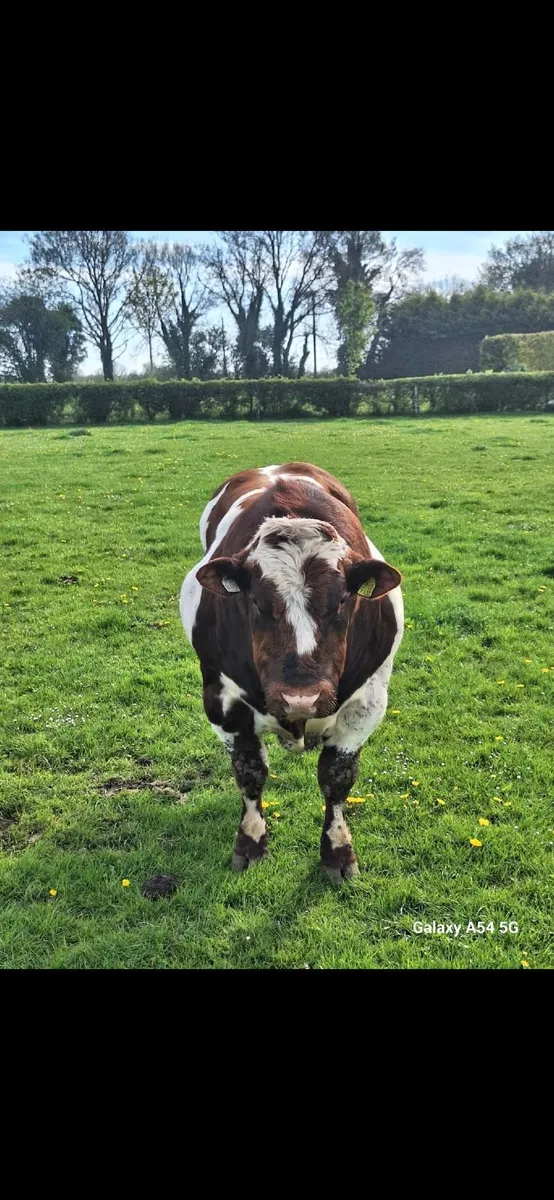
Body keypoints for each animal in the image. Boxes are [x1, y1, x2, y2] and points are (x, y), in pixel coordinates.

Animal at [180, 462, 403, 883]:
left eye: (344, 599)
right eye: (254, 600)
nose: (301, 697)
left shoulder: (367, 703)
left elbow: (337, 777)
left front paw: (338, 853)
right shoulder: (220, 699)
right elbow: (249, 771)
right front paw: (250, 844)